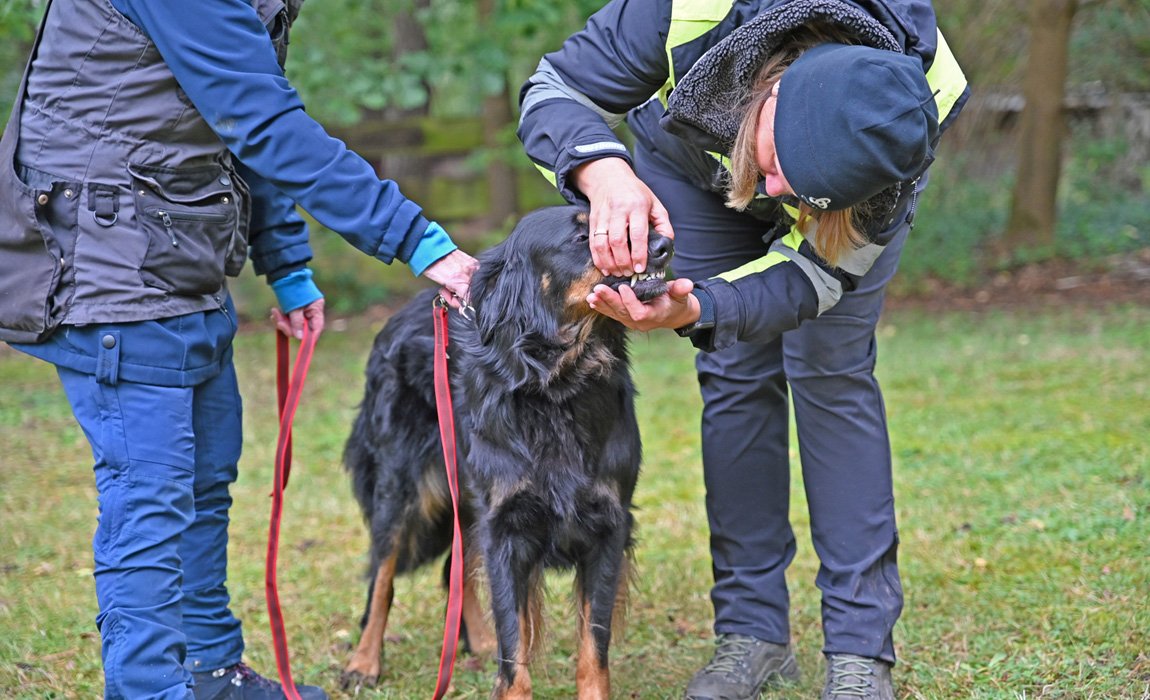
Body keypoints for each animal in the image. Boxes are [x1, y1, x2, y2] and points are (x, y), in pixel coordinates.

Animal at [335, 204, 671, 694]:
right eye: (581, 235)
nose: (665, 242)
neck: (557, 385)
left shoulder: (608, 527)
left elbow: (593, 649)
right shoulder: (507, 528)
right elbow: (514, 648)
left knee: (455, 567)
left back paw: (476, 641)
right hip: (402, 486)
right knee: (384, 574)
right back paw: (364, 662)